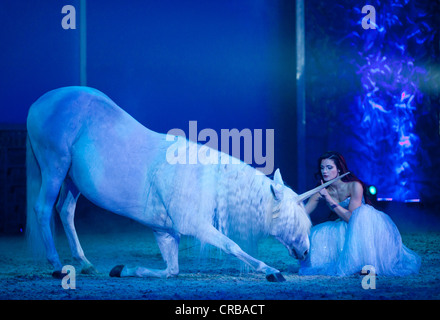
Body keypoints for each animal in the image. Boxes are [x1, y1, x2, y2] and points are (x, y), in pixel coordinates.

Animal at [25, 86, 340, 282]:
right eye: (291, 219)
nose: (305, 251)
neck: (204, 179)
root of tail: (41, 102)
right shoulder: (195, 226)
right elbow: (231, 246)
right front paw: (271, 271)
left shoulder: (166, 232)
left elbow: (172, 271)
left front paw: (124, 269)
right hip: (54, 168)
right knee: (43, 209)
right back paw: (57, 265)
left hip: (72, 180)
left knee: (65, 211)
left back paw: (85, 263)